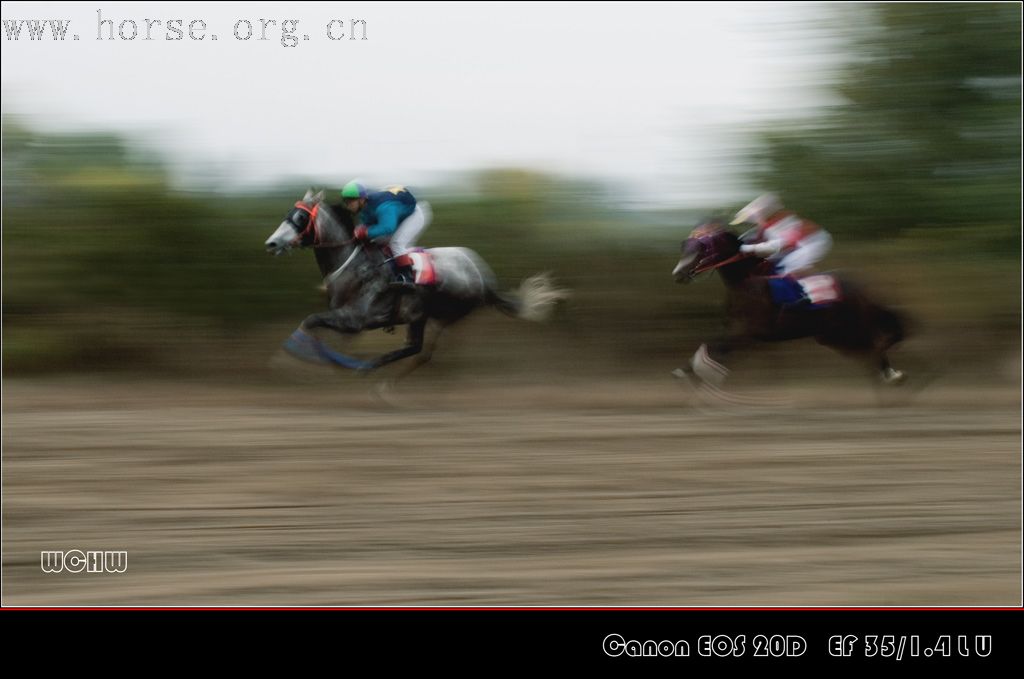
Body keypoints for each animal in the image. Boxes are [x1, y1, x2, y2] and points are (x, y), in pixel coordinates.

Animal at [264, 191, 569, 378]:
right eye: (288, 213)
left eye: (300, 217)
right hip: (421, 316)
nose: (271, 243)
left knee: (421, 353)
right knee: (416, 349)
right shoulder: (346, 320)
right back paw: (371, 370)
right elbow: (323, 332)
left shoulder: (355, 319)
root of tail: (483, 276)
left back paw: (377, 377)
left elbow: (311, 320)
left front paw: (288, 357)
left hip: (443, 314)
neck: (352, 265)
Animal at [671, 220, 905, 395]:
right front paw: (684, 373)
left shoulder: (750, 333)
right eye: (684, 246)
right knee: (869, 352)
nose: (679, 274)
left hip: (848, 328)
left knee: (875, 346)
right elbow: (709, 348)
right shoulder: (733, 328)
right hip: (831, 336)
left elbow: (717, 353)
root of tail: (858, 288)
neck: (746, 282)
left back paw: (891, 377)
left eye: (702, 248)